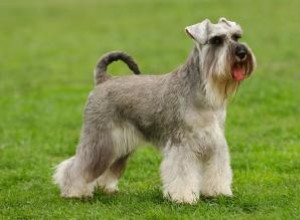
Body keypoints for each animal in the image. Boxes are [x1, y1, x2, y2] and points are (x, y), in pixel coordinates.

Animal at [53, 18, 255, 204]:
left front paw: (217, 192)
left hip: (119, 145)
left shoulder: (215, 143)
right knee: (77, 166)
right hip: (100, 140)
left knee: (107, 168)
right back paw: (74, 192)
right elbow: (183, 173)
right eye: (216, 40)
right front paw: (184, 197)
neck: (202, 91)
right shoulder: (182, 144)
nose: (241, 53)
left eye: (236, 36)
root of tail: (104, 80)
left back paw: (106, 188)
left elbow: (218, 169)